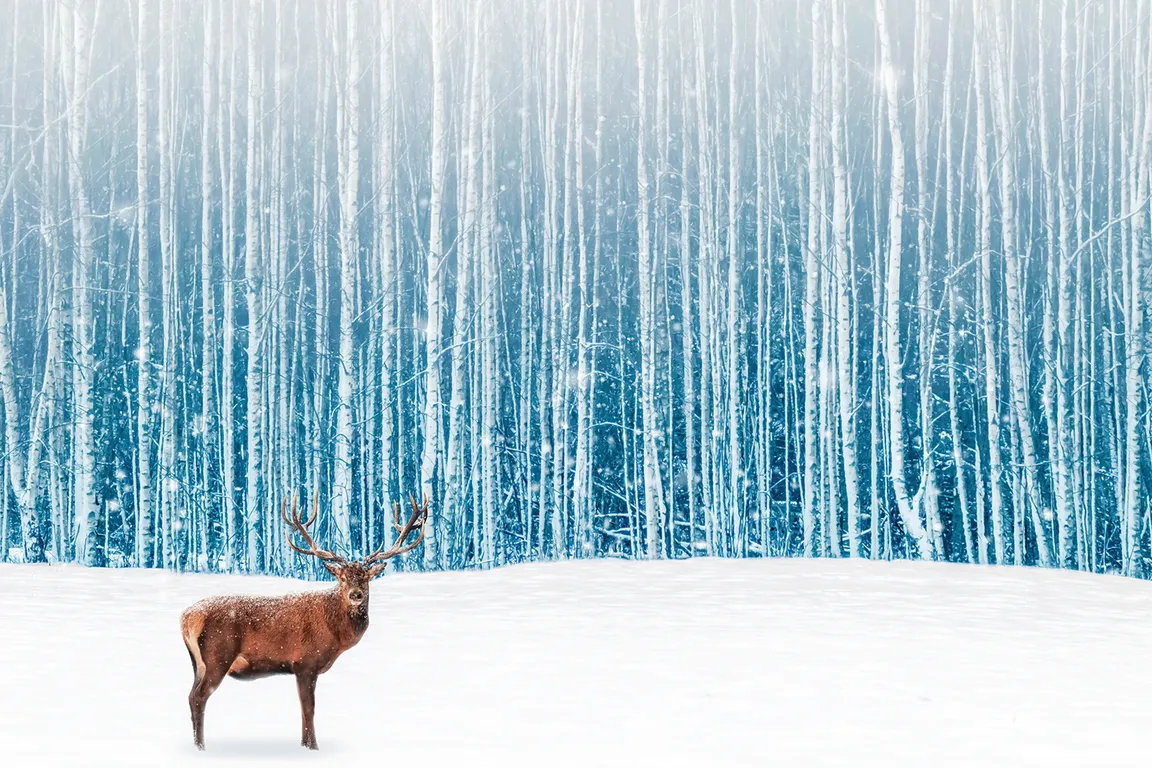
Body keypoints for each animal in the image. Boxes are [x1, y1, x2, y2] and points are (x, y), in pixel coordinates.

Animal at [179, 491, 428, 750]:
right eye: (342, 577)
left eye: (365, 577)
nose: (356, 594)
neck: (337, 635)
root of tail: (187, 617)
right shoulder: (305, 663)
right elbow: (309, 710)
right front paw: (312, 747)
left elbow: (304, 711)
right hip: (218, 655)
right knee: (198, 697)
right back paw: (201, 748)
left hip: (198, 663)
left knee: (190, 696)